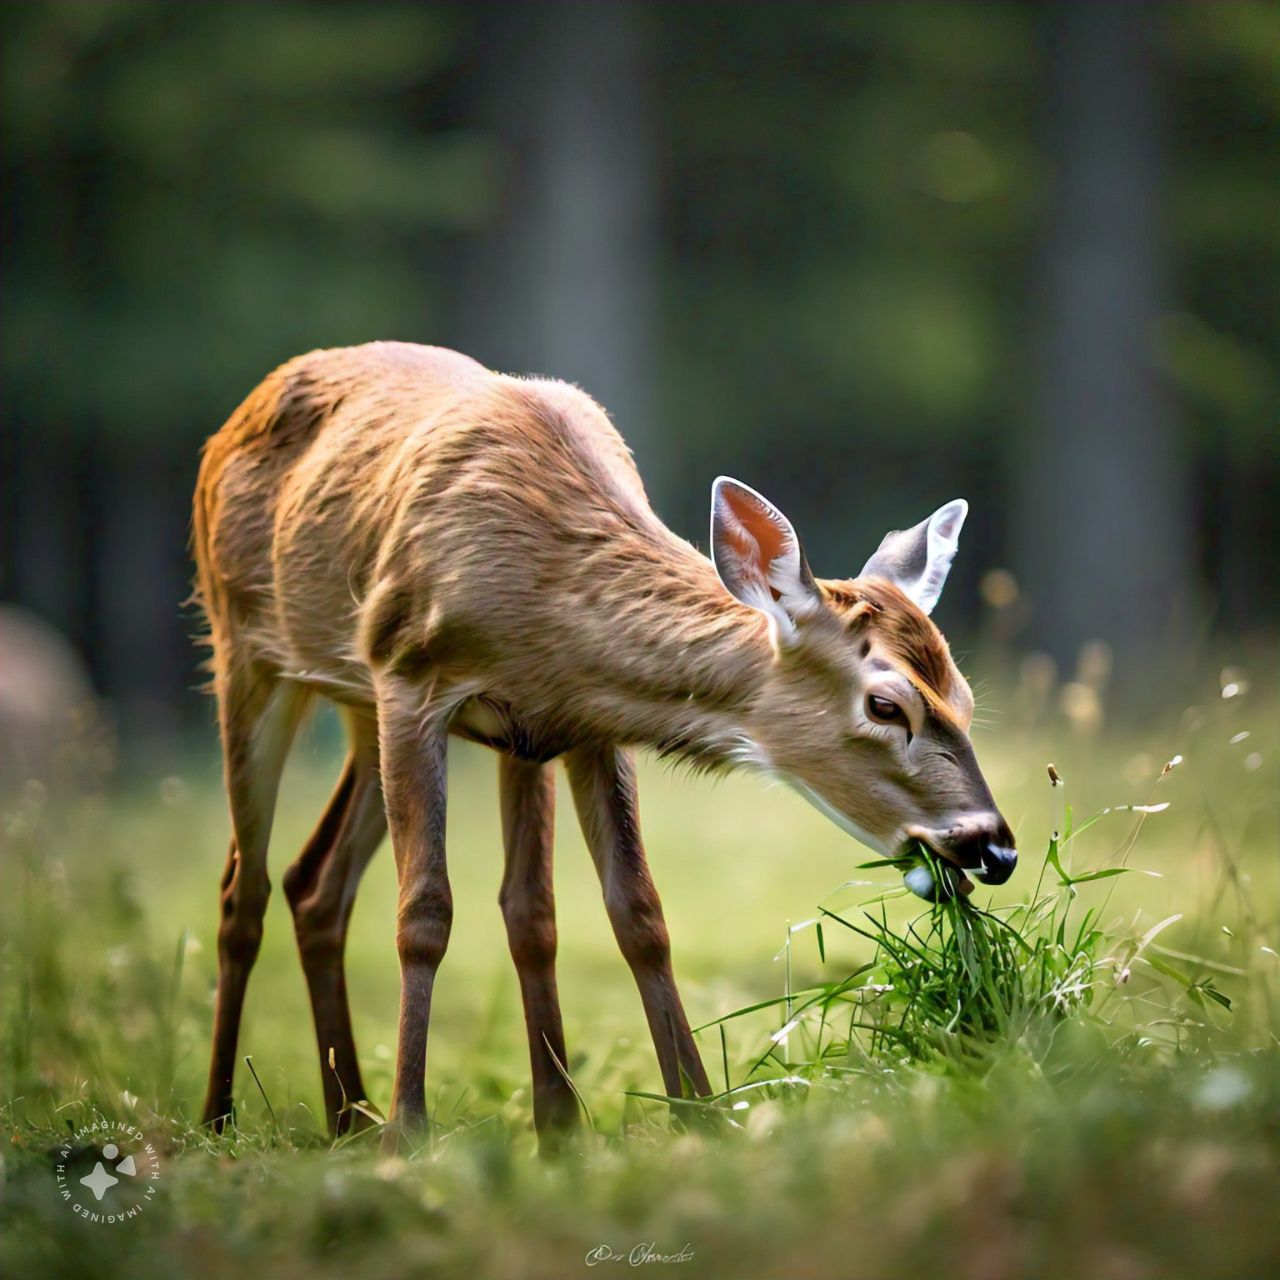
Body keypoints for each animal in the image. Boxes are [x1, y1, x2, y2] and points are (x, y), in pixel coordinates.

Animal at [191, 341, 1016, 1148]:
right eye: (885, 705)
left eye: (967, 699)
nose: (995, 846)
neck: (541, 601)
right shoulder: (409, 674)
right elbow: (426, 912)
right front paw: (413, 1133)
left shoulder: (567, 726)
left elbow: (614, 912)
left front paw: (660, 1118)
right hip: (249, 645)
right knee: (243, 886)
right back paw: (224, 1118)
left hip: (362, 708)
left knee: (315, 882)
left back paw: (348, 1117)